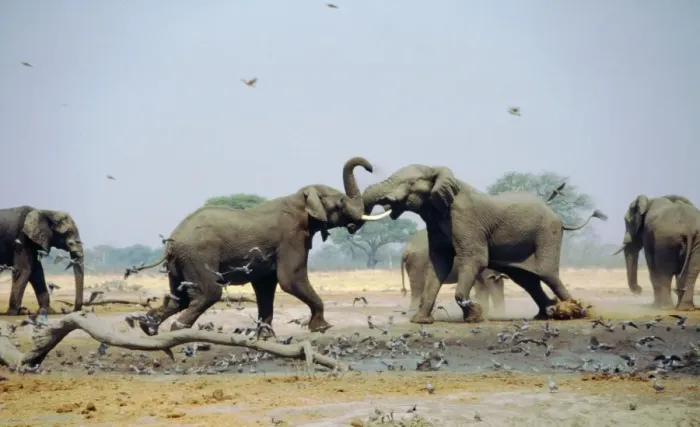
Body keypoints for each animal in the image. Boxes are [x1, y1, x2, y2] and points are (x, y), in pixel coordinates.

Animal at [129, 157, 390, 335]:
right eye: (341, 203)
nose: (370, 167)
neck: (301, 197)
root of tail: (171, 242)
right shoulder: (292, 236)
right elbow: (290, 279)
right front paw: (321, 328)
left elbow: (266, 286)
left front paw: (265, 337)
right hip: (198, 256)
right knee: (208, 293)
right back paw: (178, 329)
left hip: (181, 262)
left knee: (178, 298)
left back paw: (147, 327)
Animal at [361, 164, 607, 324]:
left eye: (410, 182)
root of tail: (559, 218)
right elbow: (439, 263)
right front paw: (421, 321)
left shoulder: (465, 220)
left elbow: (475, 260)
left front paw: (474, 316)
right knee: (527, 279)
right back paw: (547, 312)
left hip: (547, 232)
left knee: (547, 273)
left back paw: (575, 312)